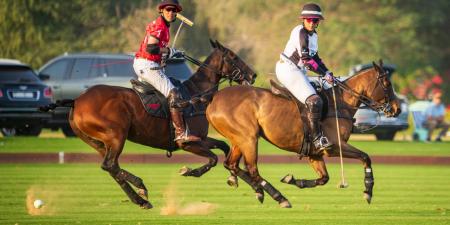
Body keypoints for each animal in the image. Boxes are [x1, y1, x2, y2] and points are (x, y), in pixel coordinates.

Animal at [207, 59, 400, 207]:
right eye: (388, 84)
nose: (397, 109)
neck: (340, 103)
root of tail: (212, 101)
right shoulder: (334, 146)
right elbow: (365, 156)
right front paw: (368, 190)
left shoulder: (314, 154)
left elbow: (324, 178)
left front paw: (293, 180)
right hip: (249, 138)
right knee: (252, 169)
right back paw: (280, 198)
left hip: (238, 139)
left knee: (231, 164)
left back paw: (258, 191)